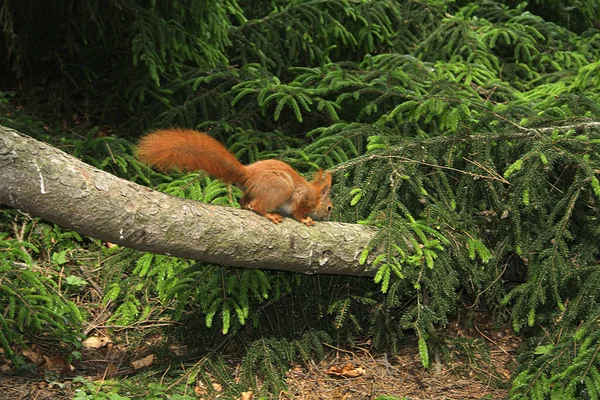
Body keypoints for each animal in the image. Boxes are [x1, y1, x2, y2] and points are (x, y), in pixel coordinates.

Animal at [137, 130, 332, 227]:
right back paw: (270, 215)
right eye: (329, 208)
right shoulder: (301, 198)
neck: (314, 195)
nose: (329, 216)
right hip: (281, 188)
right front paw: (305, 219)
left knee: (245, 202)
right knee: (257, 205)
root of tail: (248, 174)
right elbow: (297, 212)